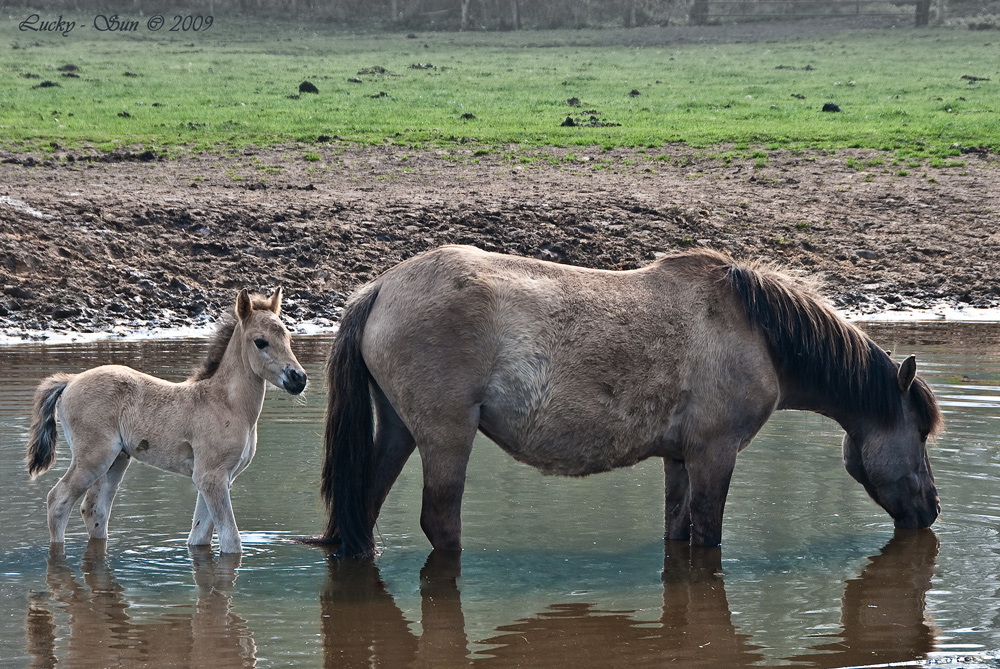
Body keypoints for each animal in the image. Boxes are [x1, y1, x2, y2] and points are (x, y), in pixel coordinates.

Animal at [25, 288, 306, 552]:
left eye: (288, 338)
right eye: (260, 342)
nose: (298, 378)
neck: (226, 403)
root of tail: (70, 380)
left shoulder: (220, 478)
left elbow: (199, 537)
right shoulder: (211, 476)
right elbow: (231, 540)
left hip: (117, 459)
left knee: (95, 510)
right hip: (93, 457)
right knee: (58, 500)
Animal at [318, 248, 936, 556]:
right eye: (921, 433)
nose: (932, 508)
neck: (758, 334)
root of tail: (380, 288)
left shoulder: (680, 458)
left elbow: (678, 532)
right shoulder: (715, 454)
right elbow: (708, 536)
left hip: (398, 431)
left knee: (363, 510)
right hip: (447, 435)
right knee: (440, 522)